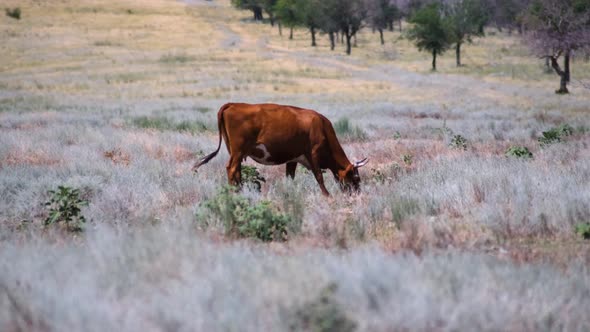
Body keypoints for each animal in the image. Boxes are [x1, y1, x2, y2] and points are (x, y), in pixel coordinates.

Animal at [194, 104, 368, 196]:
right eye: (356, 178)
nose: (358, 194)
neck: (321, 126)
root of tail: (233, 104)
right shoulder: (313, 154)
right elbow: (319, 176)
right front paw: (327, 196)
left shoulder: (293, 159)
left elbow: (290, 177)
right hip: (237, 151)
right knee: (231, 169)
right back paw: (234, 192)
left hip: (235, 152)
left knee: (237, 170)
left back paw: (240, 189)